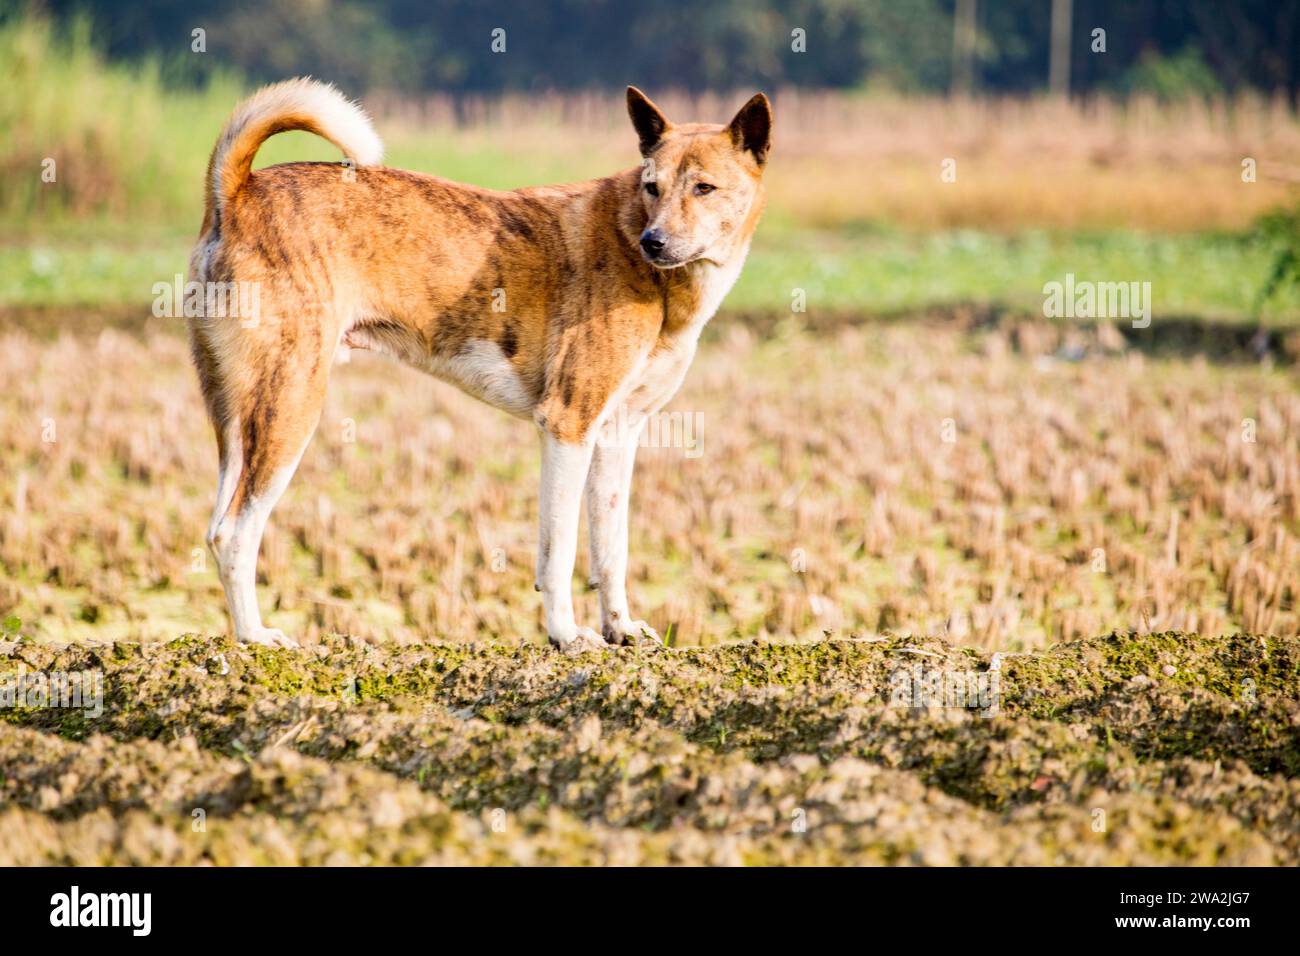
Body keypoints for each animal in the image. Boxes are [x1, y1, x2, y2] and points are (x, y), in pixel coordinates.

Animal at [188, 78, 764, 655]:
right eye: (652, 187)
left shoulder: (617, 435)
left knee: (216, 524)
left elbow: (611, 550)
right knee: (234, 533)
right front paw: (567, 636)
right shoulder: (567, 425)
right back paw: (255, 638)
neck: (633, 244)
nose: (654, 242)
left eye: (704, 188)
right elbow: (558, 553)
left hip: (235, 421)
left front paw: (620, 629)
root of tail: (238, 192)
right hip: (290, 407)